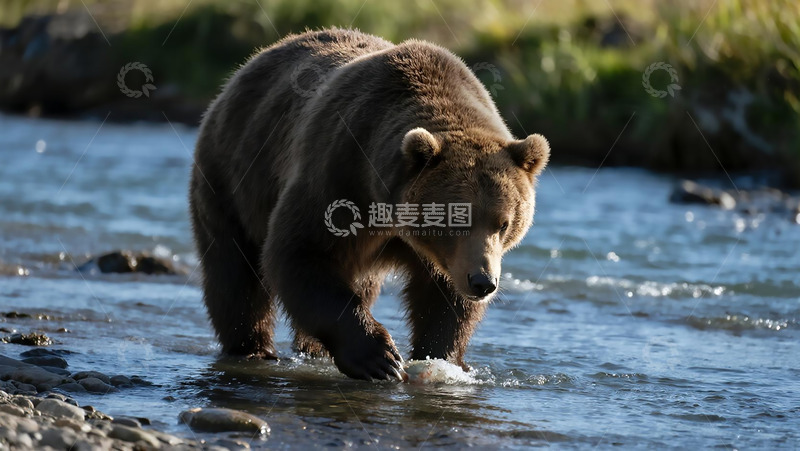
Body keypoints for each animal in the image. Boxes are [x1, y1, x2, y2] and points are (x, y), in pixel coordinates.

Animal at [189, 28, 549, 381]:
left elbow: (443, 298)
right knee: (234, 270)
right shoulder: (339, 172)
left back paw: (312, 350)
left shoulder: (441, 255)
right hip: (233, 175)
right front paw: (379, 358)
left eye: (504, 223)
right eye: (457, 219)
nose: (483, 282)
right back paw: (252, 348)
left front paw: (440, 358)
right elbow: (300, 252)